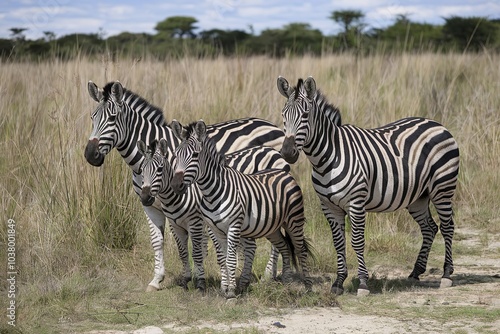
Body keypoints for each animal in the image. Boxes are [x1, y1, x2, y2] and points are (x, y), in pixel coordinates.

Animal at [138, 140, 290, 290]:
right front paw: (186, 279)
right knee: (251, 247)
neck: (176, 198)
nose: (145, 198)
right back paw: (245, 280)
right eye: (141, 171)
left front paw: (200, 282)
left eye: (159, 169)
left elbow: (197, 252)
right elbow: (182, 252)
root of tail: (274, 151)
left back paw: (266, 276)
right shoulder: (175, 225)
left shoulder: (196, 222)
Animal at [170, 119, 312, 298]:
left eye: (195, 155)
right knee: (284, 246)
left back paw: (308, 287)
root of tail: (285, 174)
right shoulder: (215, 229)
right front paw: (224, 288)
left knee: (300, 250)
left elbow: (230, 259)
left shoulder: (233, 225)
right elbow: (222, 259)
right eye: (176, 155)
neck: (212, 192)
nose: (176, 185)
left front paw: (231, 292)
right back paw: (286, 281)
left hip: (294, 221)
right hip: (271, 227)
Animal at [276, 77, 458, 296]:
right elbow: (338, 243)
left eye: (305, 115)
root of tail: (437, 124)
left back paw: (446, 275)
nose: (287, 152)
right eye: (283, 115)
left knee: (447, 227)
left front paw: (363, 283)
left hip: (442, 188)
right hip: (418, 196)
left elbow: (356, 241)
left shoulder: (356, 203)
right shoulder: (329, 207)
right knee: (429, 228)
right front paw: (339, 282)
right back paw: (416, 272)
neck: (327, 158)